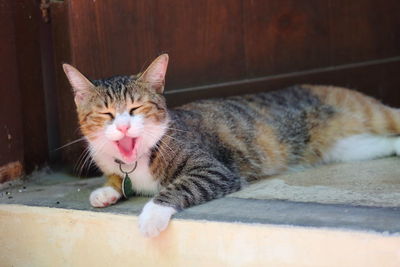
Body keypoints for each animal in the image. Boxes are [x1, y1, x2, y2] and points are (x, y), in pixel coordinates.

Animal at [64, 54, 400, 239]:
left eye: (136, 109)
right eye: (106, 114)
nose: (122, 126)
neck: (137, 158)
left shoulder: (213, 170)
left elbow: (179, 187)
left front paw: (151, 216)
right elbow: (115, 179)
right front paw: (106, 191)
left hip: (369, 113)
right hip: (351, 147)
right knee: (386, 143)